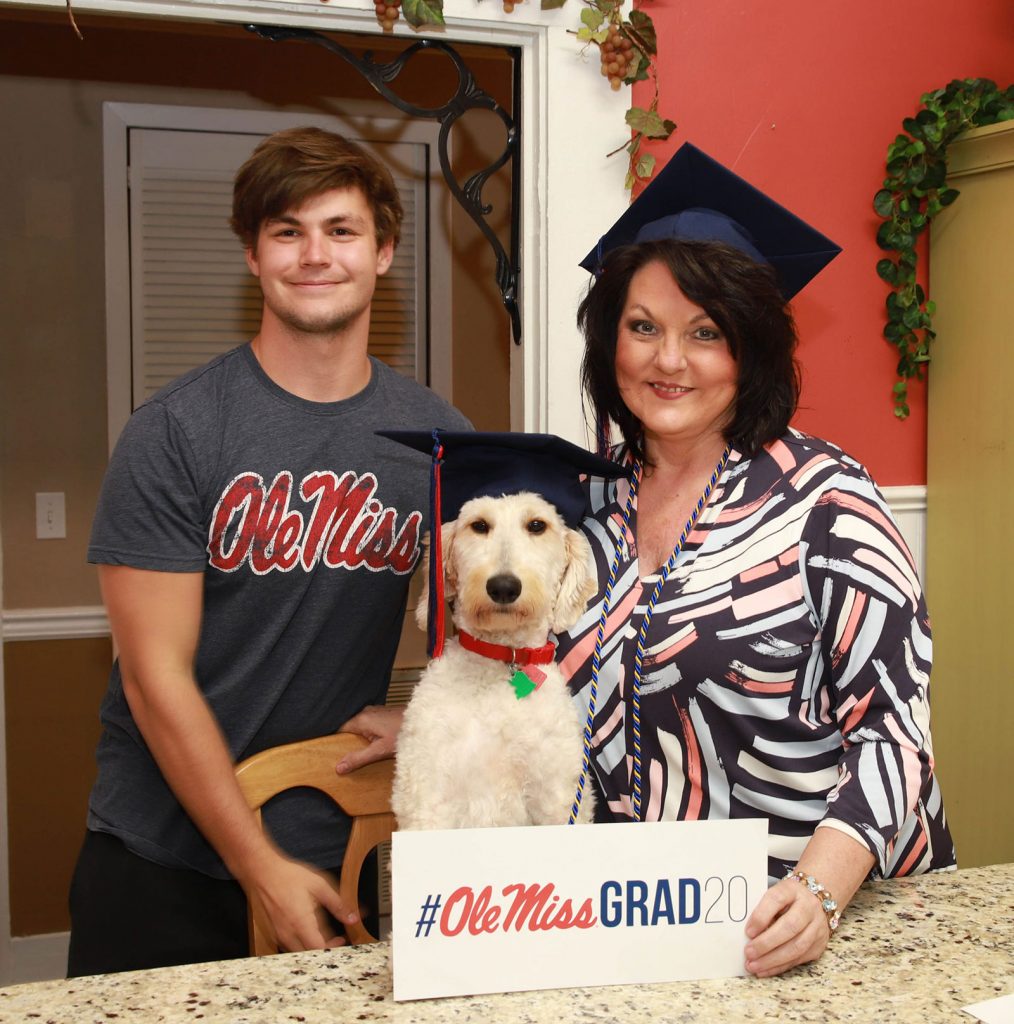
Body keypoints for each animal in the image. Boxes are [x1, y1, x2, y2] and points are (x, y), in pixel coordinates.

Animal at [393, 489, 598, 831]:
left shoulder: (556, 795)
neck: (504, 660)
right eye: (479, 525)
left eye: (537, 525)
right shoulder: (427, 793)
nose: (503, 586)